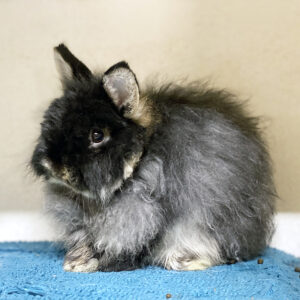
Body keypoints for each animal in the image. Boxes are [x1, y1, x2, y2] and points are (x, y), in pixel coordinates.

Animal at [31, 44, 276, 272]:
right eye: (52, 124)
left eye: (97, 135)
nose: (53, 165)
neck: (140, 160)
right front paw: (76, 258)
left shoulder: (141, 216)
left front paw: (85, 263)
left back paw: (184, 261)